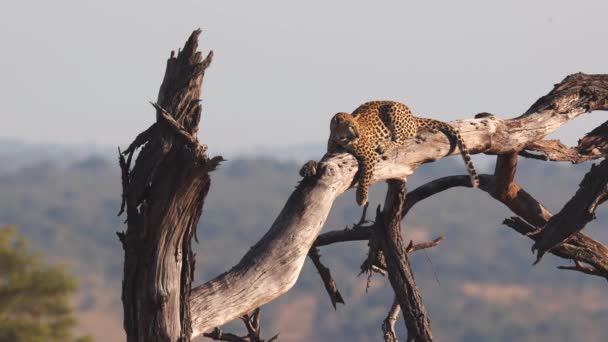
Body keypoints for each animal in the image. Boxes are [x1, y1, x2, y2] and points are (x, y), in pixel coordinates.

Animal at [328, 99, 480, 206]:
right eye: (351, 126)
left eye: (357, 126)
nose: (358, 135)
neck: (339, 138)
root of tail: (413, 117)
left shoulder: (369, 154)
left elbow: (365, 176)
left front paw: (361, 198)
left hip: (393, 111)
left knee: (401, 139)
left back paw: (384, 145)